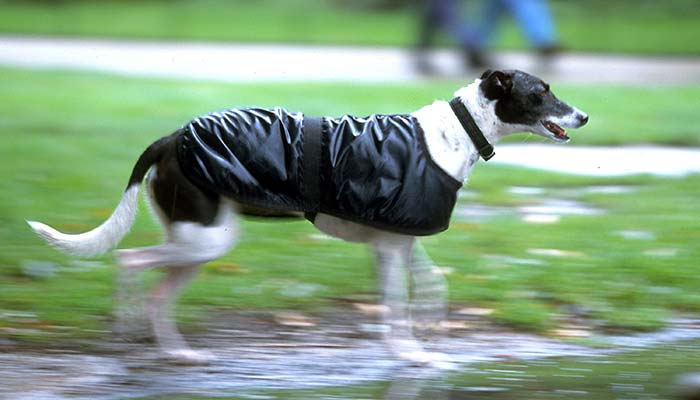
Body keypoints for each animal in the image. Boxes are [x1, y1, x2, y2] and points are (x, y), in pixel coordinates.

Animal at [27, 69, 584, 366]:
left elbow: (430, 287)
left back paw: (179, 354)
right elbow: (399, 306)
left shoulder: (396, 243)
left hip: (199, 243)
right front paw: (410, 354)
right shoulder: (391, 248)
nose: (583, 116)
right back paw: (126, 324)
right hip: (202, 240)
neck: (457, 132)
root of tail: (172, 137)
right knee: (131, 262)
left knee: (158, 295)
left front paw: (421, 338)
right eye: (540, 92)